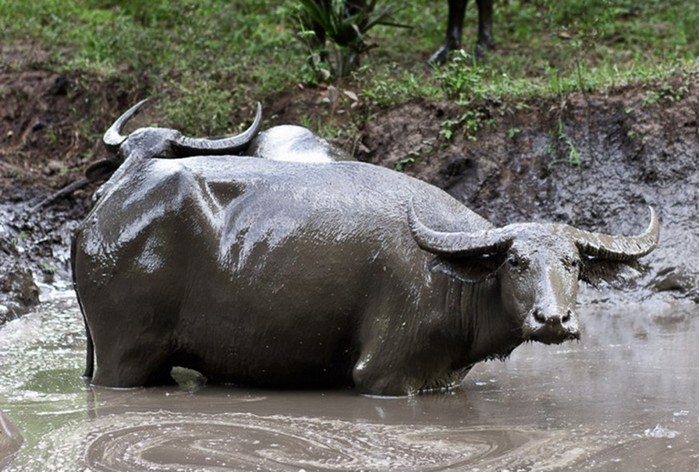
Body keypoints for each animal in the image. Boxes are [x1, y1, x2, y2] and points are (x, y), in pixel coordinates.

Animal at [72, 105, 660, 396]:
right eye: (515, 262)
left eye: (574, 263)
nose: (553, 319)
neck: (455, 273)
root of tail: (100, 213)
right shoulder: (385, 375)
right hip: (123, 359)